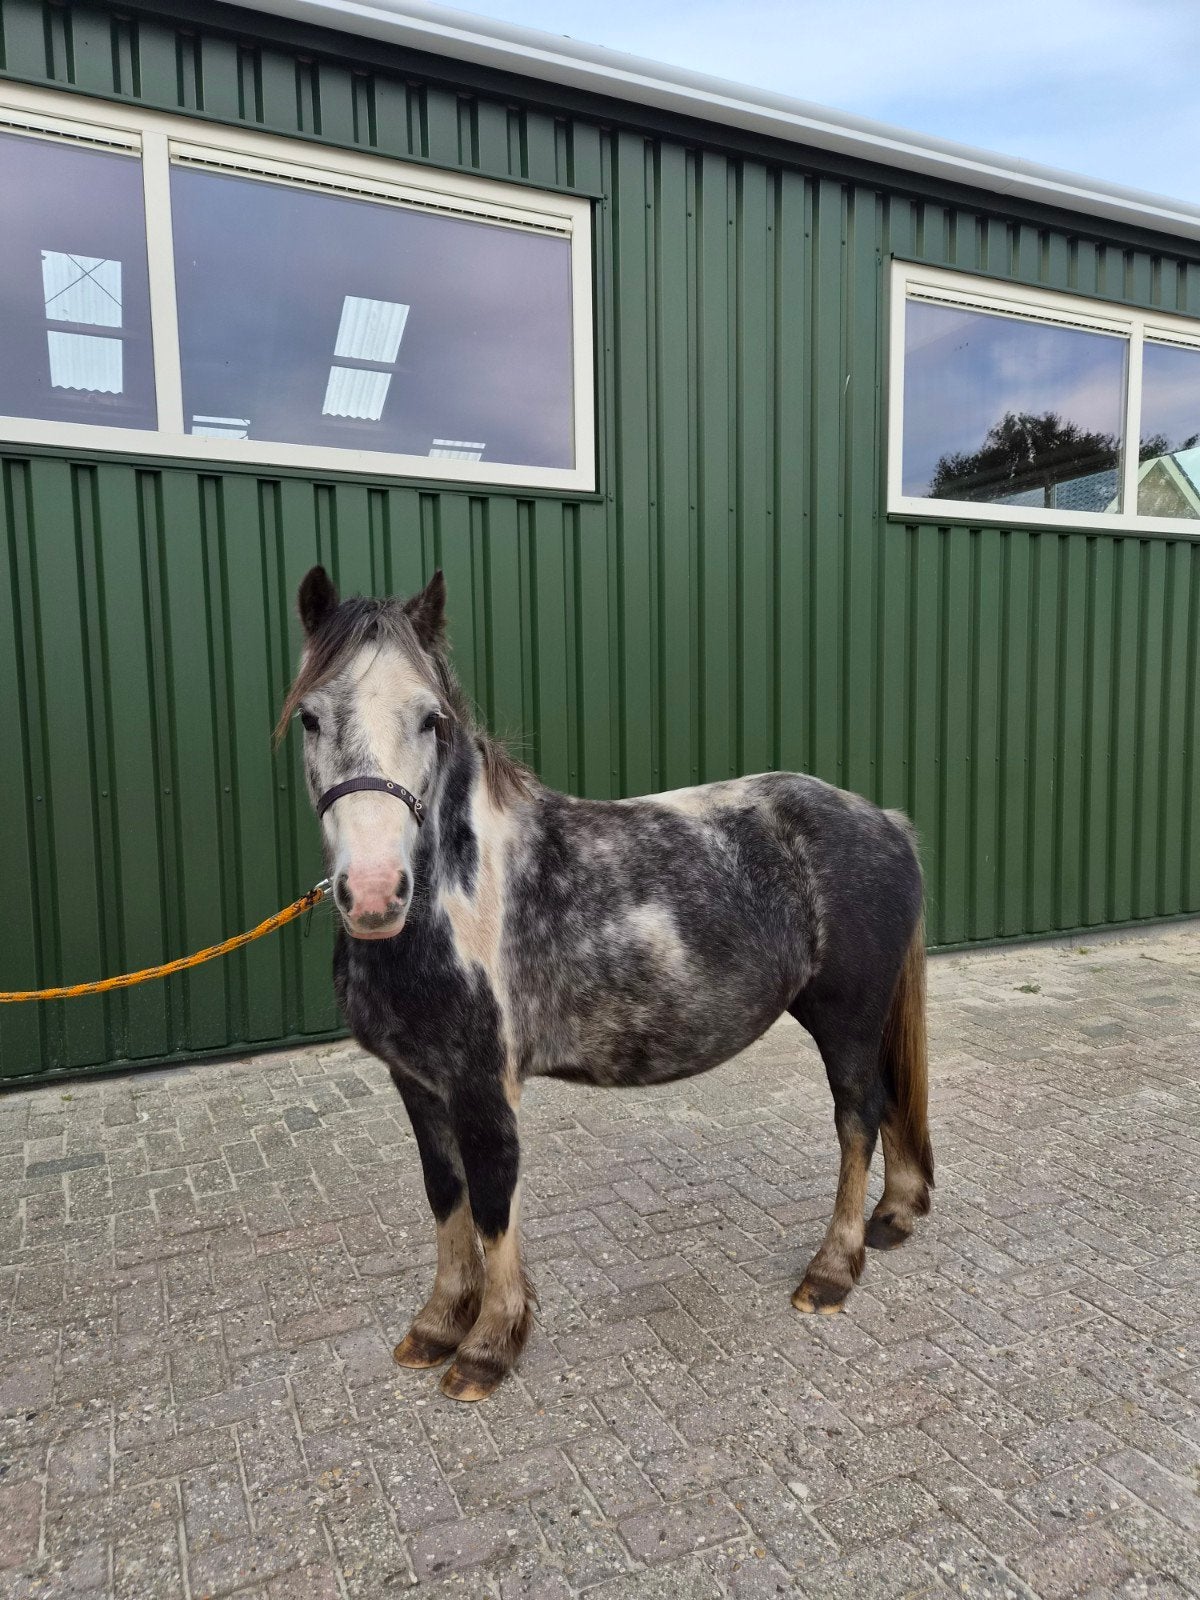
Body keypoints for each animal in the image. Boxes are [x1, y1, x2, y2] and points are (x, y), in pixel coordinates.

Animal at [278, 566, 933, 1402]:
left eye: (431, 719)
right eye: (310, 719)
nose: (371, 894)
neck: (457, 898)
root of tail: (884, 819)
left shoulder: (483, 1087)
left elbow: (492, 1201)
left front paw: (488, 1346)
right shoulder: (418, 1082)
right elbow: (445, 1196)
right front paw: (436, 1324)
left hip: (845, 1015)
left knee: (859, 1116)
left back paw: (831, 1272)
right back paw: (895, 1218)